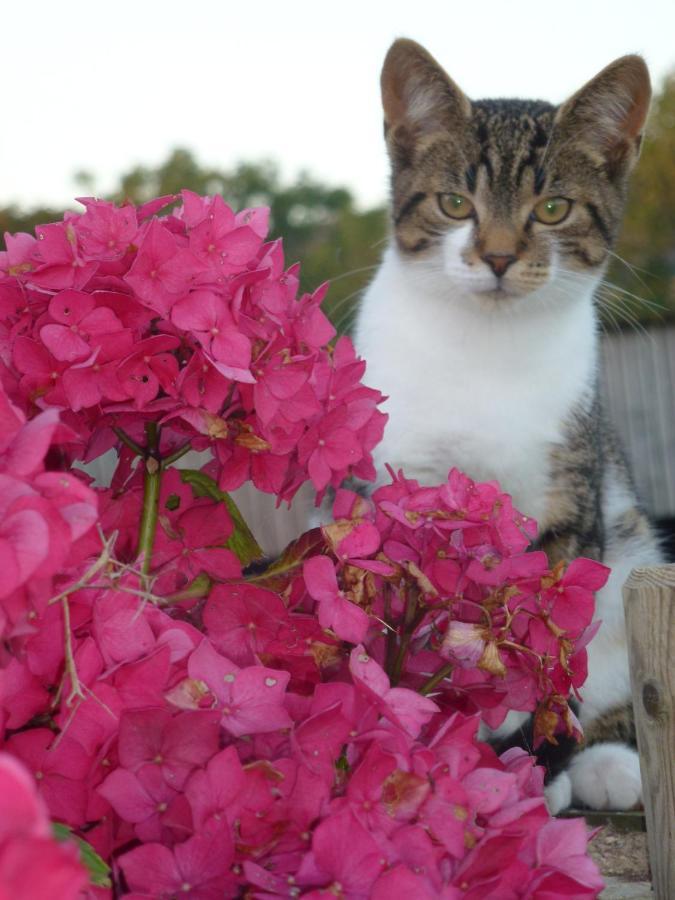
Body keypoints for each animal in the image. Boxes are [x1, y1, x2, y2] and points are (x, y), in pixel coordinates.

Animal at [354, 38, 664, 816]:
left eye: (552, 208)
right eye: (454, 203)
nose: (496, 255)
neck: (485, 347)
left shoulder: (570, 497)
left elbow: (544, 644)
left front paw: (527, 763)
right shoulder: (401, 490)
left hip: (630, 544)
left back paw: (600, 763)